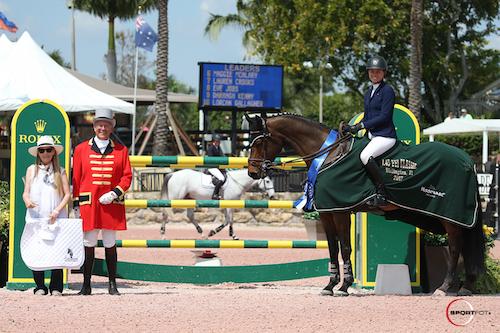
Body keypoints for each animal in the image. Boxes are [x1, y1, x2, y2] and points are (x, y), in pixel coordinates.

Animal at [246, 112, 484, 296]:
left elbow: (345, 247)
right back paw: (465, 287)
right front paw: (330, 285)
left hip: (451, 216)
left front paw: (344, 286)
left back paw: (444, 288)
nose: (253, 172)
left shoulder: (340, 211)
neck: (328, 154)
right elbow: (332, 247)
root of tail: (467, 160)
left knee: (455, 247)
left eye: (258, 142)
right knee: (463, 247)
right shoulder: (327, 213)